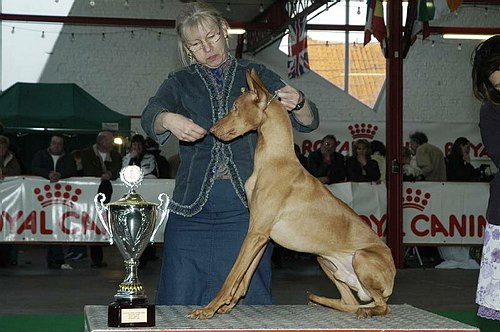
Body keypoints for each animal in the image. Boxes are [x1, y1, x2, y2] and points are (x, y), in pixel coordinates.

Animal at [188, 68, 394, 320]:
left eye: (235, 107)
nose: (212, 130)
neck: (274, 159)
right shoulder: (261, 234)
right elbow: (244, 277)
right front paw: (228, 304)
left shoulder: (256, 232)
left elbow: (232, 276)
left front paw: (209, 308)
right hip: (323, 258)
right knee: (349, 301)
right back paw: (320, 300)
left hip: (361, 258)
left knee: (382, 306)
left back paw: (363, 310)